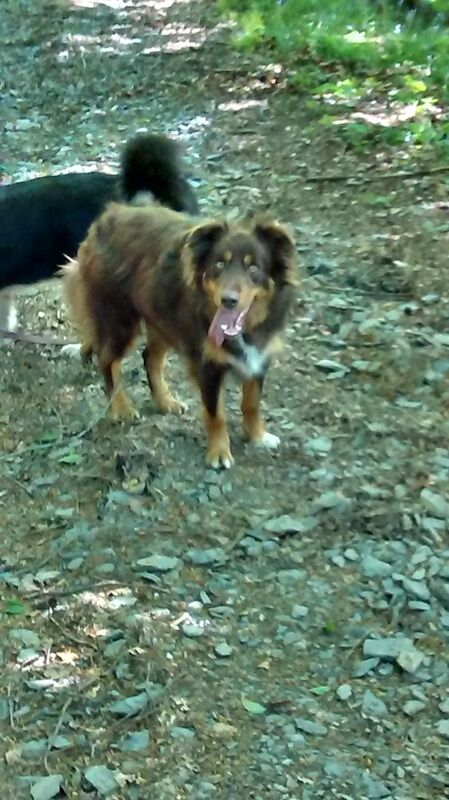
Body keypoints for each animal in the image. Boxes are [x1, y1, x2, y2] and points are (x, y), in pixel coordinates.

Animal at [62, 202, 294, 468]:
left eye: (254, 268)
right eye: (219, 264)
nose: (228, 300)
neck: (244, 328)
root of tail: (108, 217)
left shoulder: (260, 356)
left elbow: (252, 403)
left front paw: (257, 436)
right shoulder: (207, 365)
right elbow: (216, 414)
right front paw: (219, 452)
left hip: (162, 317)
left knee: (149, 358)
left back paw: (165, 401)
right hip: (120, 321)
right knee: (108, 360)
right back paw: (120, 408)